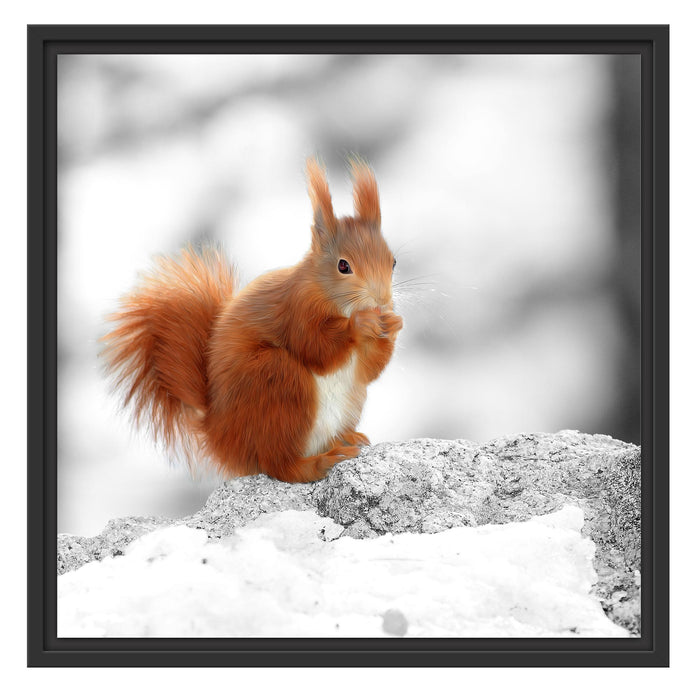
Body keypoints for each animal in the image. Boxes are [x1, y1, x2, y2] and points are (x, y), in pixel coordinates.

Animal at [101, 157, 403, 483]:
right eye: (343, 266)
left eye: (393, 262)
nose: (382, 300)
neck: (333, 300)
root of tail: (220, 436)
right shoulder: (295, 310)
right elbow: (316, 348)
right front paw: (360, 324)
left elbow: (369, 370)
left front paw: (394, 324)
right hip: (276, 382)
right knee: (279, 465)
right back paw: (319, 462)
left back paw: (346, 438)